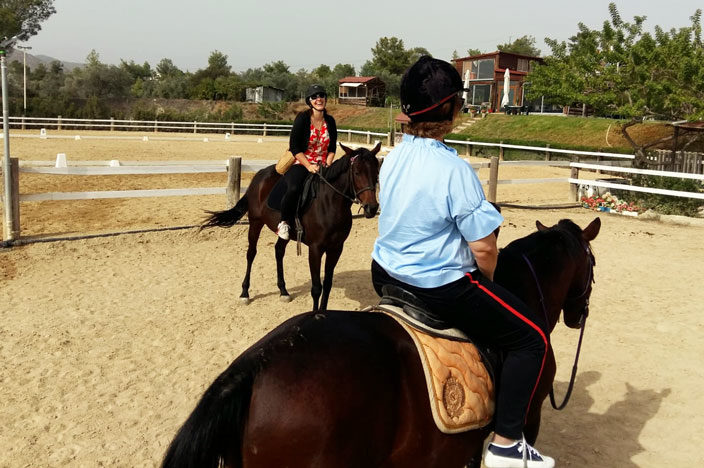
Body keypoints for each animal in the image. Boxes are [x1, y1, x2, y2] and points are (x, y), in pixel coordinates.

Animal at [201, 143, 380, 310]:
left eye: (377, 172)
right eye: (357, 172)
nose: (372, 208)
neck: (329, 203)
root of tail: (260, 176)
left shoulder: (336, 248)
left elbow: (327, 285)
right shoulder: (315, 249)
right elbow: (317, 288)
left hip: (284, 232)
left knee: (279, 251)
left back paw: (283, 291)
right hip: (255, 223)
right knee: (251, 253)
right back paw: (245, 293)